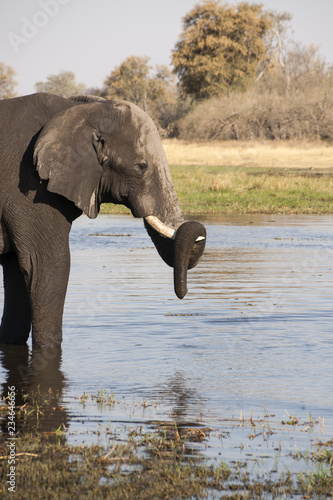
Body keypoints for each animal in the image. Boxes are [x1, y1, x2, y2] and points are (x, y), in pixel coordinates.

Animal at [0, 94, 205, 350]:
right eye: (140, 167)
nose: (183, 294)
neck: (83, 108)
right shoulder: (31, 188)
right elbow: (48, 263)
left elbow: (18, 271)